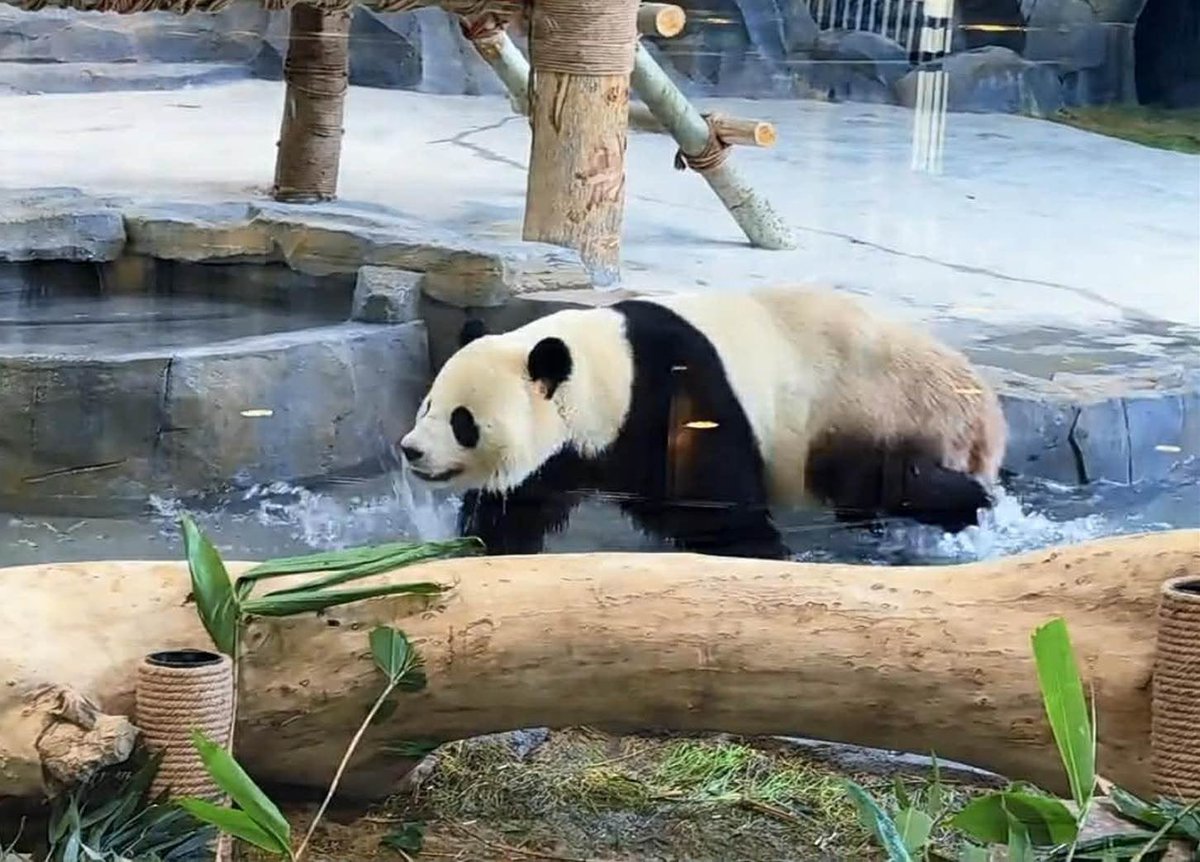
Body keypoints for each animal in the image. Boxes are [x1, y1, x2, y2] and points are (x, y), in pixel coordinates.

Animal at [398, 285, 1007, 559]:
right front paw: (479, 551)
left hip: (874, 407)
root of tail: (985, 412)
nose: (411, 451)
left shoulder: (679, 399)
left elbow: (714, 503)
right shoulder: (566, 453)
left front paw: (762, 557)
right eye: (427, 405)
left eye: (463, 422)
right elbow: (519, 503)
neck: (612, 367)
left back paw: (970, 503)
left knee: (893, 480)